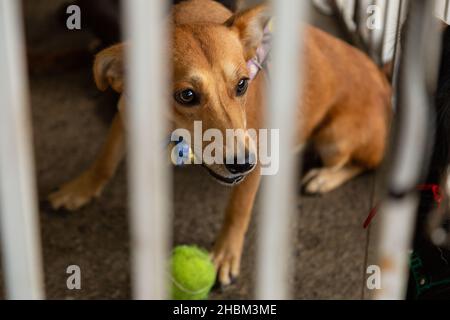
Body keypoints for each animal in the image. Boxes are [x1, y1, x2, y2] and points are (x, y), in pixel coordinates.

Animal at [48, 0, 390, 284]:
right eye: (186, 95)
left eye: (242, 84)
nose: (242, 163)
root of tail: (384, 79)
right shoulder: (128, 115)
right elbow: (104, 160)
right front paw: (78, 189)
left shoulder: (257, 157)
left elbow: (237, 210)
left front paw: (225, 256)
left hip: (335, 140)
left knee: (364, 164)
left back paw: (323, 177)